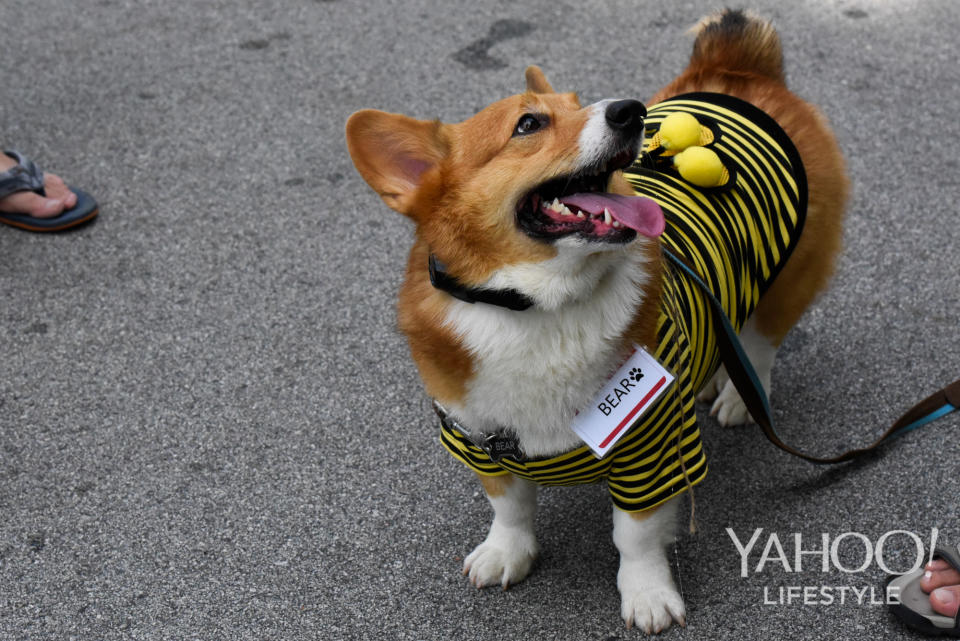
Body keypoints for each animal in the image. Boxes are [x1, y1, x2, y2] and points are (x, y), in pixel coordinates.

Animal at [344, 10, 848, 636]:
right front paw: (505, 553)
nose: (630, 110)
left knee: (760, 343)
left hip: (790, 277)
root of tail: (737, 69)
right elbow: (509, 507)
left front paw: (648, 596)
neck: (534, 305)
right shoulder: (479, 441)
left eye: (579, 101)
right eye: (528, 123)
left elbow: (634, 535)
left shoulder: (651, 447)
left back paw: (739, 395)